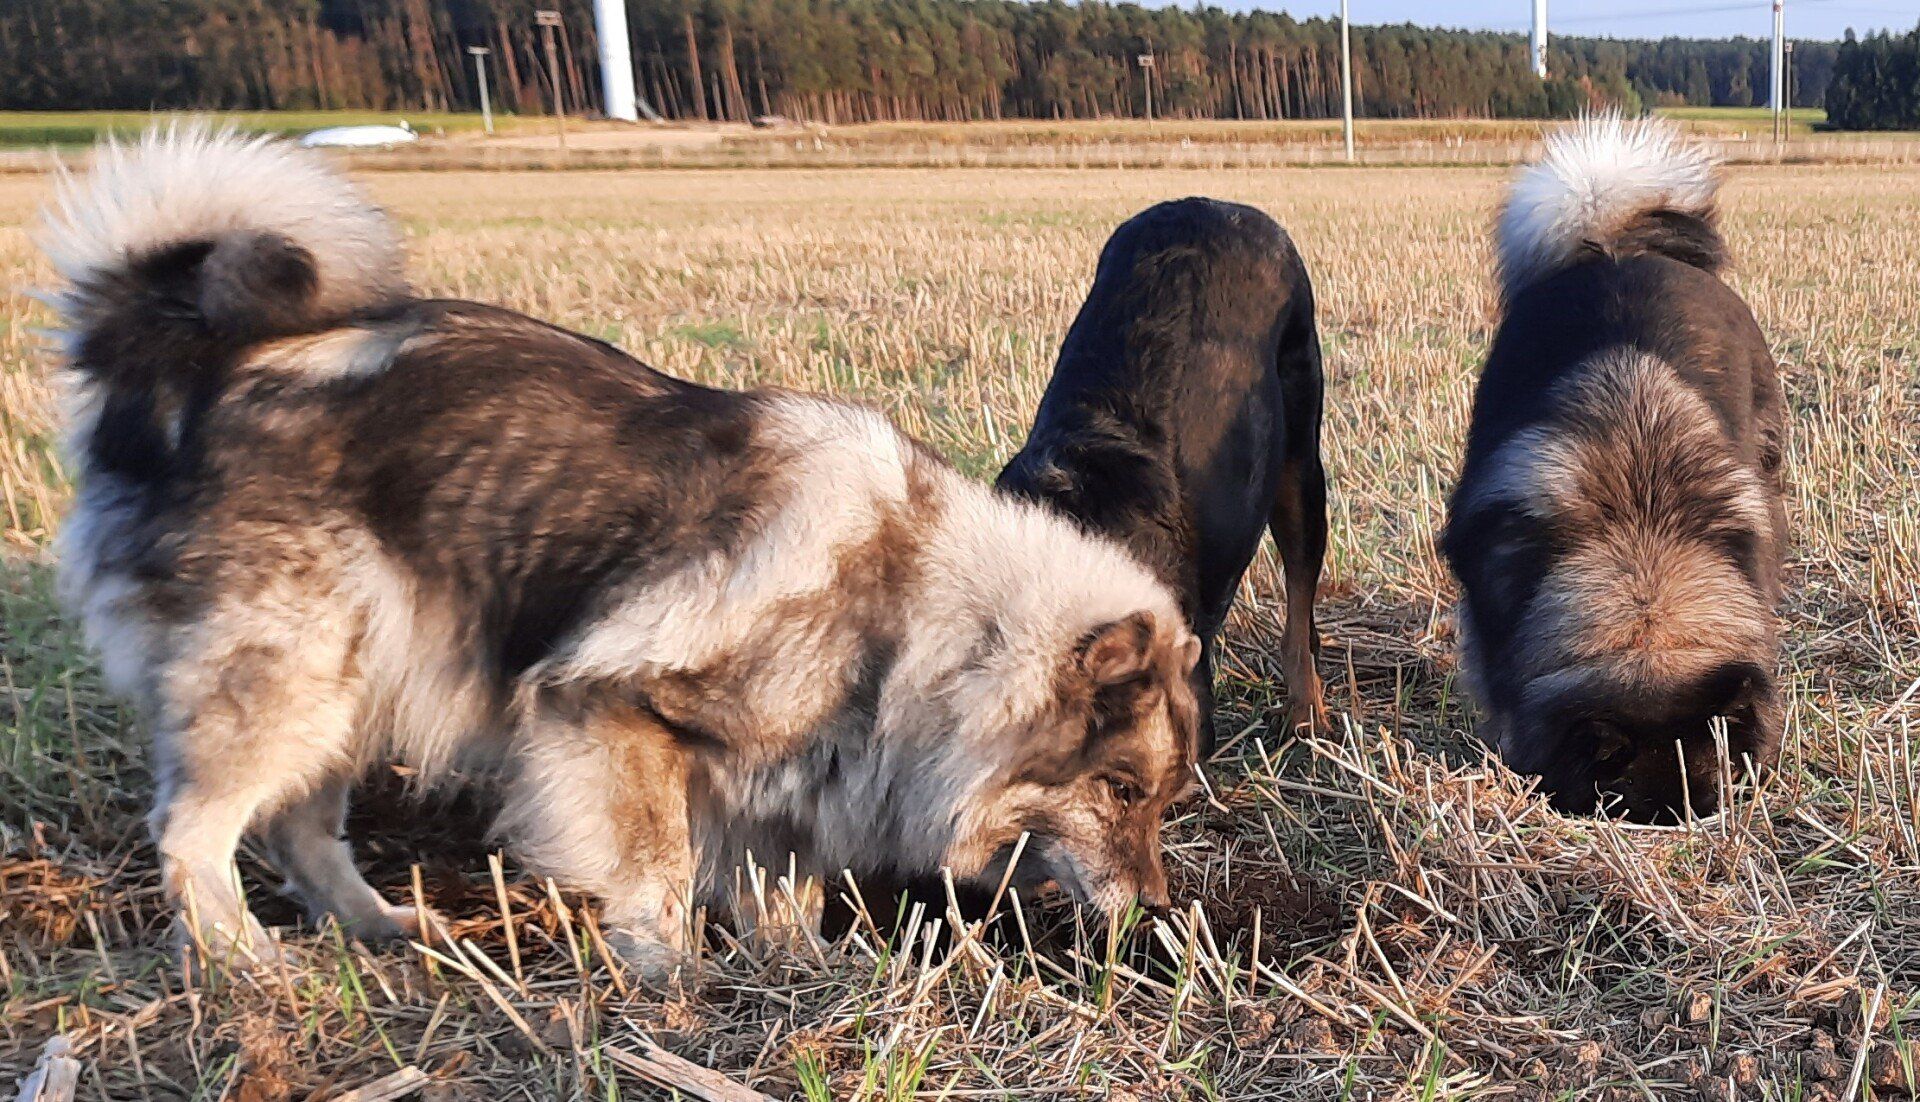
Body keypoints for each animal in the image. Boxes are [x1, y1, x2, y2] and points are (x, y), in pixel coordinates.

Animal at [42, 127, 1205, 976]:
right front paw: (673, 984)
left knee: (294, 828)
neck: (921, 609)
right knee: (193, 828)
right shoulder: (605, 712)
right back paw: (243, 961)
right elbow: (655, 868)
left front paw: (800, 975)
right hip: (284, 682)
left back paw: (382, 929)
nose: (1153, 912)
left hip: (347, 687)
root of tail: (191, 365)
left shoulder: (778, 780)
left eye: (1158, 801)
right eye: (1122, 792)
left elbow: (780, 888)